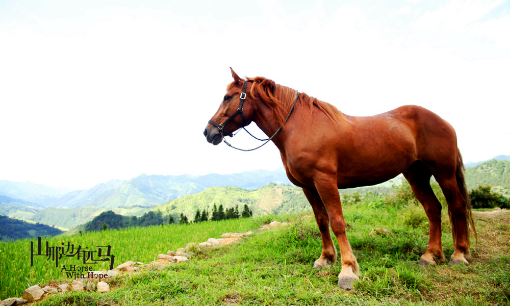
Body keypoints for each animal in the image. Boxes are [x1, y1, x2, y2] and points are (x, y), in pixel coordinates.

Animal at [204, 68, 478, 290]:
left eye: (228, 97)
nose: (208, 132)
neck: (300, 125)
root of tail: (443, 121)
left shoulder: (325, 181)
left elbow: (337, 222)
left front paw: (348, 270)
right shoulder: (308, 186)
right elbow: (321, 220)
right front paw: (326, 258)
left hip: (443, 173)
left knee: (456, 207)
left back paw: (458, 255)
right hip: (416, 175)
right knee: (434, 209)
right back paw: (431, 255)